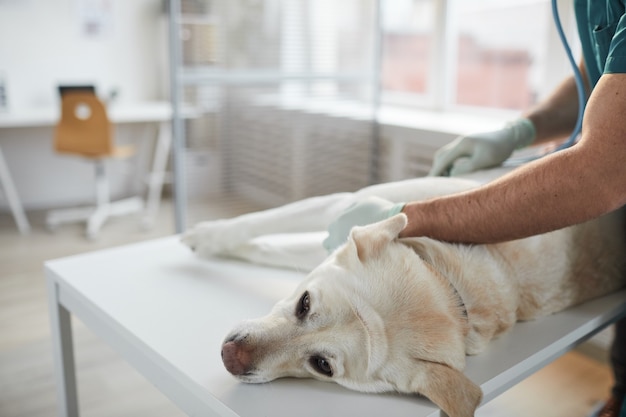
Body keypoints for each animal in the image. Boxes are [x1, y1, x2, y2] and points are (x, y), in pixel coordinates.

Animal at [180, 169, 624, 416]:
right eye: (304, 304)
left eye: (322, 365)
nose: (229, 356)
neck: (451, 281)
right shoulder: (342, 205)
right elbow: (257, 224)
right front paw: (206, 234)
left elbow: (269, 246)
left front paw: (214, 242)